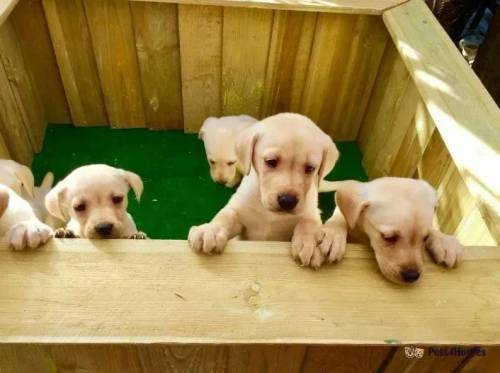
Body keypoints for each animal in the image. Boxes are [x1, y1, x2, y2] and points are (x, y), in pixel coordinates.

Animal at [189, 112, 342, 266]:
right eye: (271, 161)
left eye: (310, 168)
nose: (287, 201)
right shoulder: (239, 213)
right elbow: (225, 216)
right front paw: (210, 230)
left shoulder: (311, 211)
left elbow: (309, 223)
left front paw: (310, 243)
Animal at [320, 179, 464, 284]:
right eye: (388, 237)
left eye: (425, 238)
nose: (412, 276)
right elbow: (340, 217)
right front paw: (333, 234)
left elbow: (434, 230)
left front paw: (444, 241)